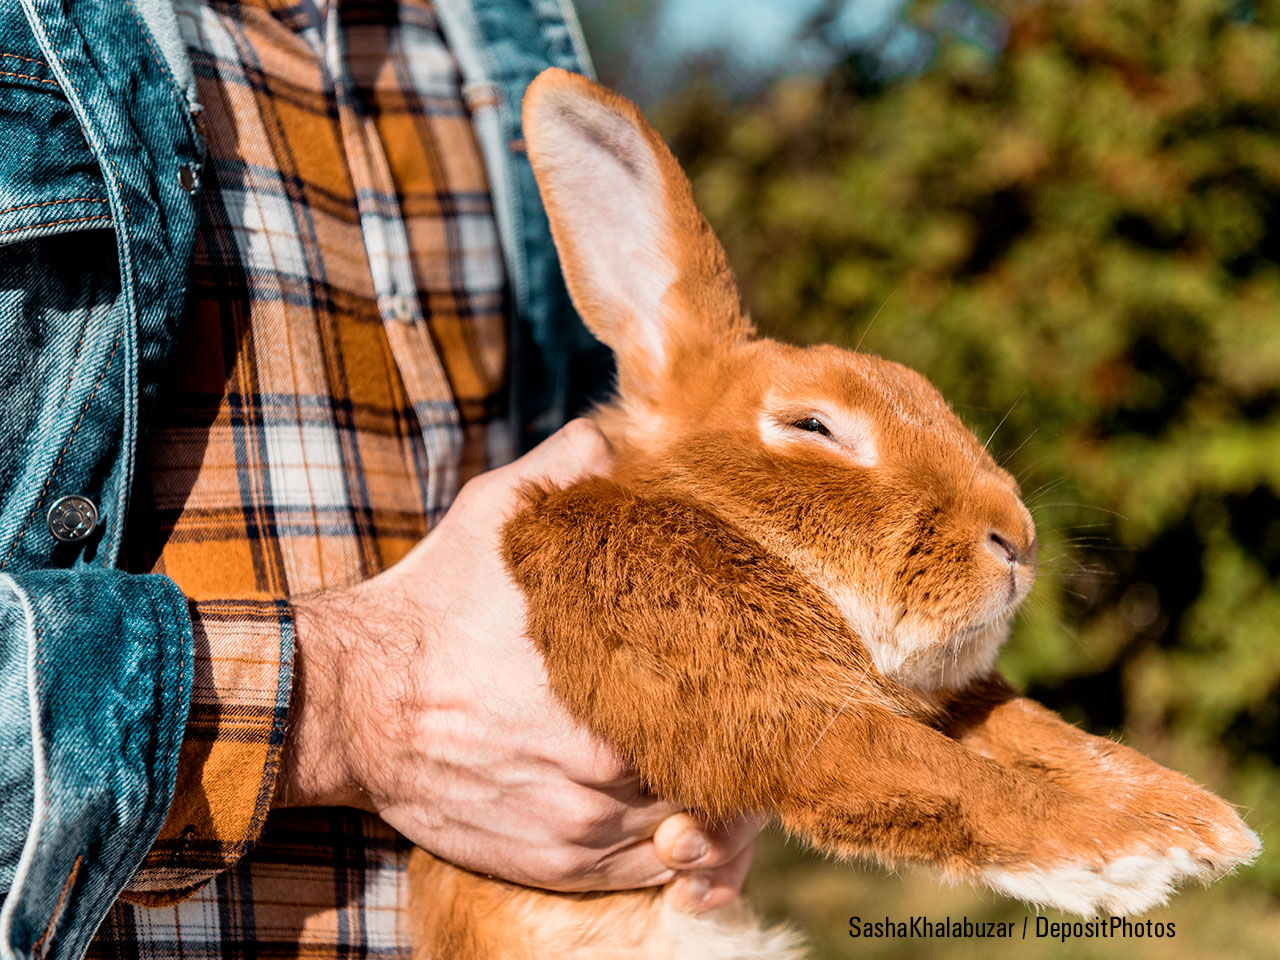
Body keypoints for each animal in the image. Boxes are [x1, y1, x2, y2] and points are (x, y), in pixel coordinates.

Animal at [409, 69, 1259, 960]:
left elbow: (1036, 732)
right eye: (813, 426)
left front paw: (1196, 818)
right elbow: (942, 776)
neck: (729, 527)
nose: (1018, 541)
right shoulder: (774, 711)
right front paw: (1145, 851)